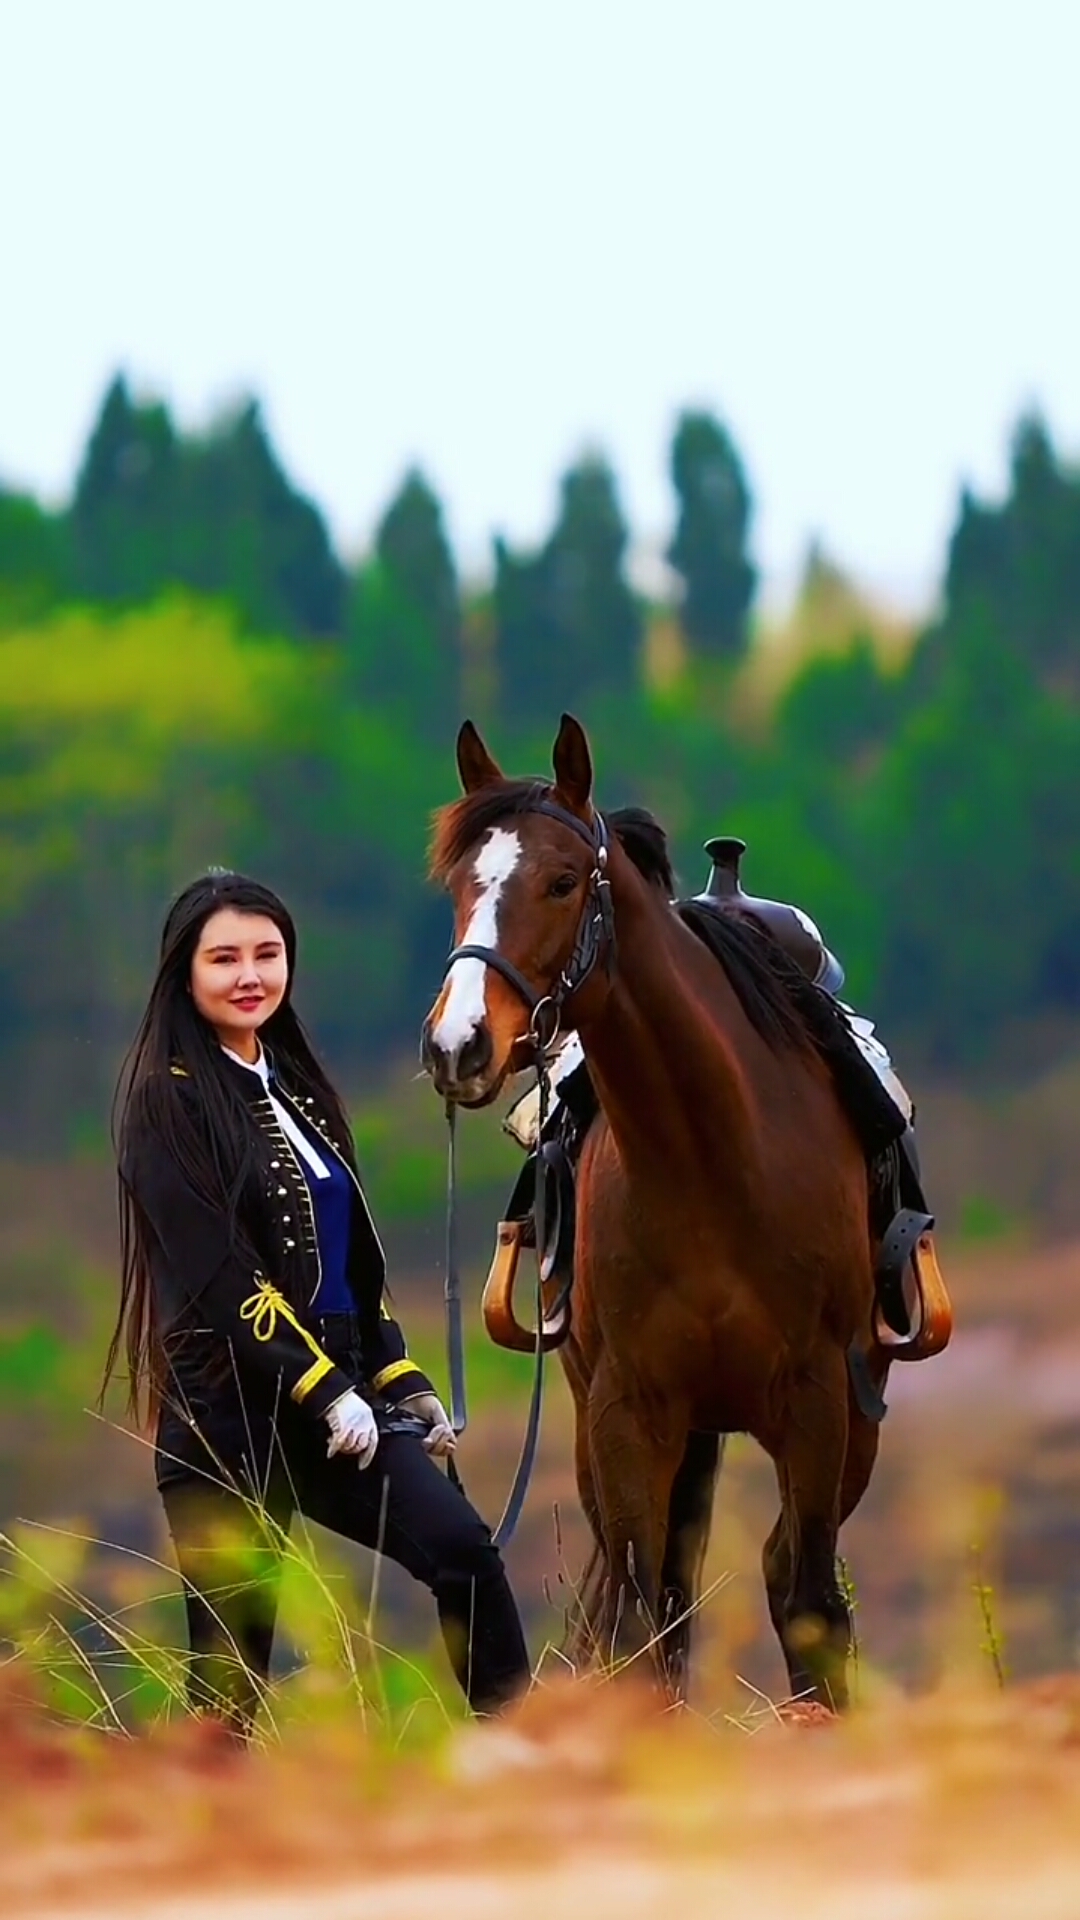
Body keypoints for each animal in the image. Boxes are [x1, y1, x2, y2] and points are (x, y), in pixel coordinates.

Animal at [420, 713, 891, 1710]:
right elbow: (642, 1622)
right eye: (459, 883)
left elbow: (810, 1605)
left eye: (563, 881)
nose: (457, 1044)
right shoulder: (628, 1412)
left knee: (785, 1571)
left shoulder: (819, 1404)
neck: (711, 1163)